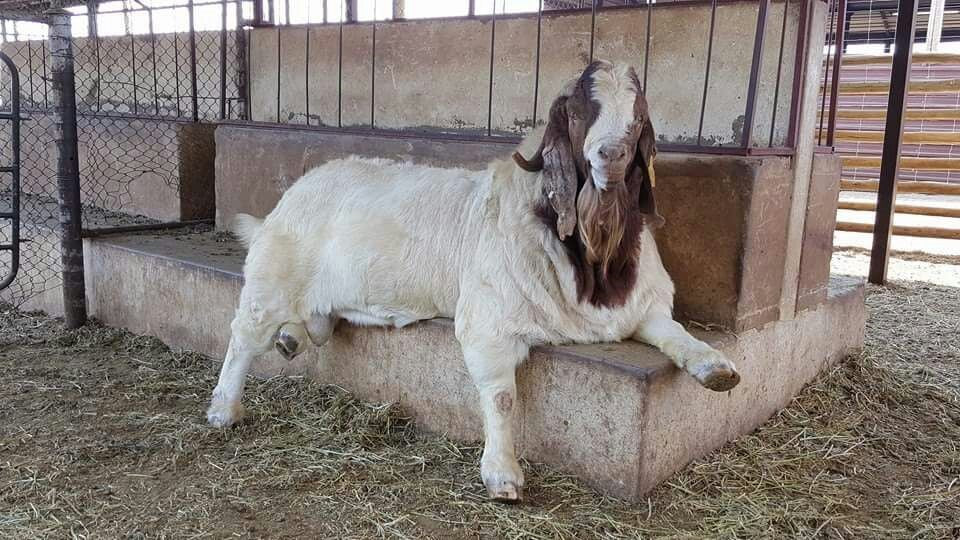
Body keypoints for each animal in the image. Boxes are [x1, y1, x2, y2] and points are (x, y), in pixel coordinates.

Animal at [206, 61, 740, 504]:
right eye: (576, 112)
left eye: (638, 114)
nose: (612, 153)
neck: (592, 261)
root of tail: (294, 192)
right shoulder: (488, 324)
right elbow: (502, 397)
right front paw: (502, 474)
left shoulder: (645, 307)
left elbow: (678, 334)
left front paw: (717, 368)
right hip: (274, 276)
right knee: (243, 335)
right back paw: (224, 408)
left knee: (313, 321)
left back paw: (293, 338)